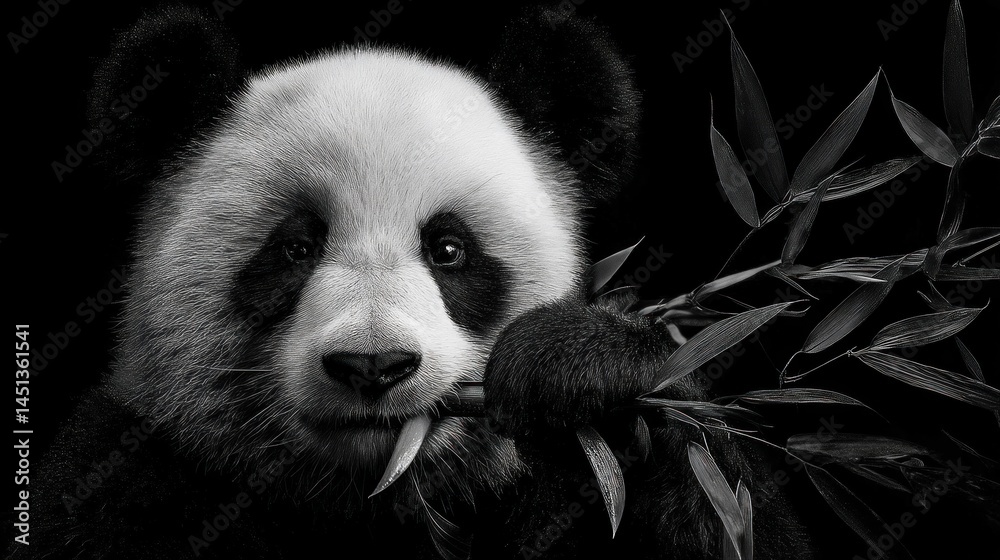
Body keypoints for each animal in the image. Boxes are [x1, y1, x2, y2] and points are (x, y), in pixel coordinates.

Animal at [15, 5, 814, 560]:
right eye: (295, 247)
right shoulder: (134, 475)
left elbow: (723, 505)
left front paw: (583, 367)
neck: (378, 495)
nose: (373, 366)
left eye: (449, 249)